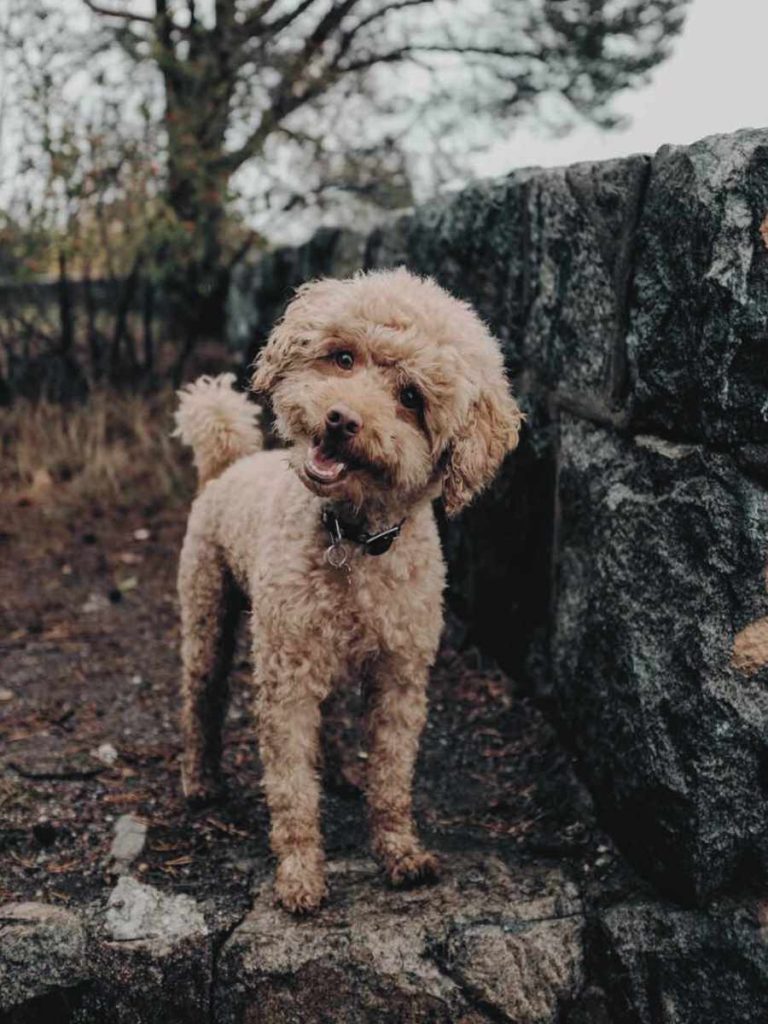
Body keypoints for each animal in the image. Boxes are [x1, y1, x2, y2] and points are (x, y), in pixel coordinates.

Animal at [174, 266, 524, 913]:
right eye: (342, 357)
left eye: (411, 398)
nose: (340, 419)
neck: (354, 539)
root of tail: (227, 465)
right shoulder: (285, 677)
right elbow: (290, 786)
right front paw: (299, 876)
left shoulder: (400, 678)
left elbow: (391, 778)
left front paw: (401, 854)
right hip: (207, 610)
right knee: (201, 699)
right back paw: (201, 780)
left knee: (328, 712)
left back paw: (336, 770)